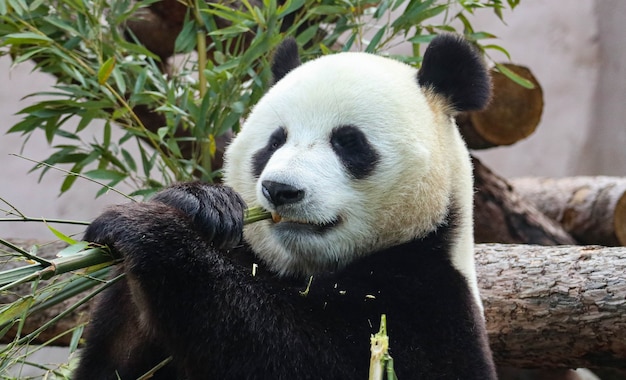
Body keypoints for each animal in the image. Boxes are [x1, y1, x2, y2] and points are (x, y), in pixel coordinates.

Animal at [72, 34, 492, 378]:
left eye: (348, 142)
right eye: (274, 141)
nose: (280, 190)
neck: (305, 270)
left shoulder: (427, 302)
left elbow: (299, 355)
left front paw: (152, 233)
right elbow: (114, 367)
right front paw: (196, 203)